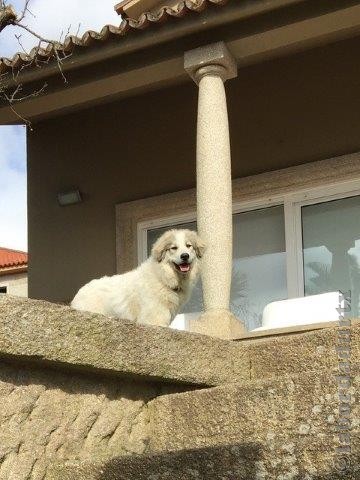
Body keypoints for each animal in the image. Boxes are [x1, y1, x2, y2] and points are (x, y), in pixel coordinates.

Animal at [71, 229, 205, 326]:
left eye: (189, 246)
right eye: (173, 248)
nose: (185, 256)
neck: (161, 277)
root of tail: (80, 291)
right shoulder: (154, 317)